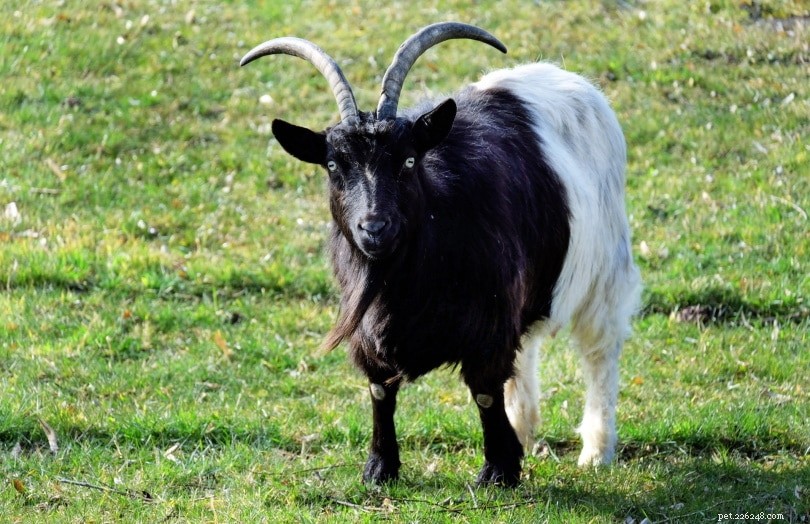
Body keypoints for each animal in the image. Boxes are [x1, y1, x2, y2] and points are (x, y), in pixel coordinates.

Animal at [240, 22, 641, 486]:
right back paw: (523, 426)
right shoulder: (370, 329)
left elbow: (485, 391)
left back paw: (596, 450)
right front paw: (380, 468)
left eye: (410, 161)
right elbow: (380, 388)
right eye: (334, 166)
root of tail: (564, 77)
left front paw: (498, 470)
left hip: (605, 269)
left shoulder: (488, 321)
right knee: (526, 352)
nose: (374, 227)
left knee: (600, 350)